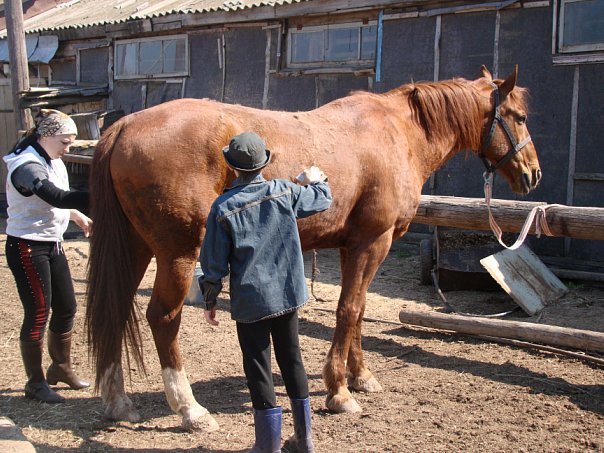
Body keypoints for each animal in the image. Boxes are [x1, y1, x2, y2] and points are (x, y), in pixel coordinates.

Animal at [84, 65, 536, 430]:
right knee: (162, 318)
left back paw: (119, 402)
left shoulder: (354, 246)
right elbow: (349, 309)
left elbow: (359, 310)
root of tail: (124, 127)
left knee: (116, 308)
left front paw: (361, 376)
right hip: (176, 255)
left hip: (135, 249)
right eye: (520, 117)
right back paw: (190, 410)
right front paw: (340, 391)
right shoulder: (373, 242)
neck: (399, 133)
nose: (533, 173)